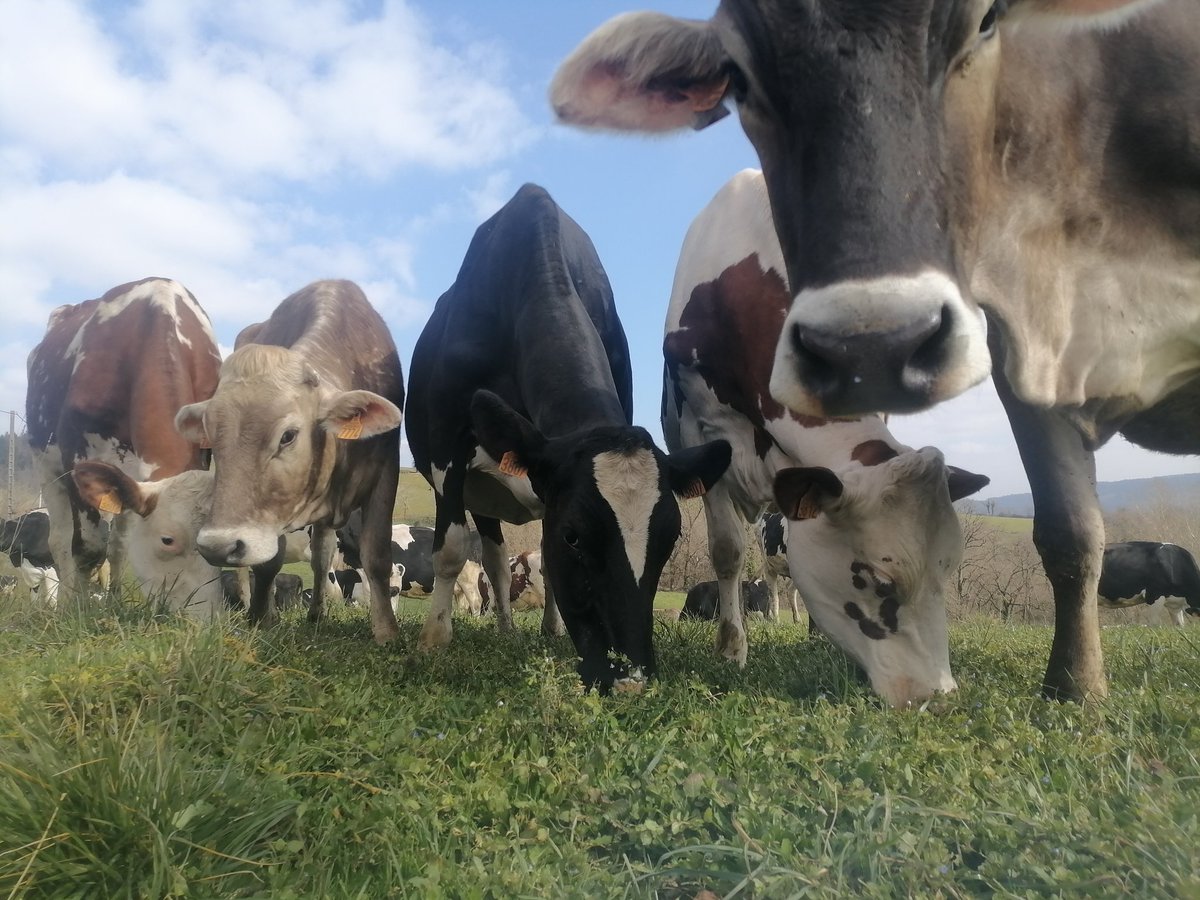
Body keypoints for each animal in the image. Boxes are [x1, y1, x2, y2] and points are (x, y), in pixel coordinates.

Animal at [25, 277, 223, 612]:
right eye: (167, 540)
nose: (209, 617)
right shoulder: (76, 457)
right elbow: (87, 548)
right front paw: (79, 609)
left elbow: (116, 547)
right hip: (47, 468)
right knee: (60, 541)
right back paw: (64, 601)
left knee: (117, 545)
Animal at [174, 280, 405, 643]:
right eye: (211, 433)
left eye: (288, 435)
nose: (217, 545)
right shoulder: (269, 516)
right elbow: (268, 562)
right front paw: (259, 616)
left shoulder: (385, 474)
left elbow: (377, 557)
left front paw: (387, 633)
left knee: (322, 557)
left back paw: (317, 612)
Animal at [406, 183, 730, 691]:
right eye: (574, 537)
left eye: (671, 535)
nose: (629, 675)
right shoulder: (447, 448)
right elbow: (453, 548)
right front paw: (434, 639)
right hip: (482, 493)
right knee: (495, 562)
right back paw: (504, 629)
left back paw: (545, 630)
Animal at [662, 172, 988, 706]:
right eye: (877, 579)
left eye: (947, 568)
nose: (936, 695)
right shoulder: (699, 433)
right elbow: (727, 550)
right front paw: (732, 650)